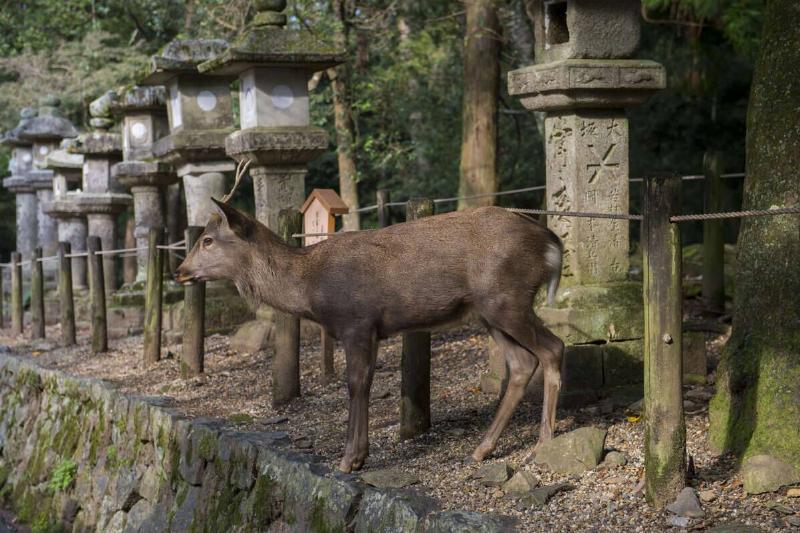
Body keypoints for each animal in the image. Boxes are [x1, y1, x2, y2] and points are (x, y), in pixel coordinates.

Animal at [175, 197, 565, 473]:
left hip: (506, 298)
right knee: (521, 362)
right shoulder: (372, 330)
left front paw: (350, 459)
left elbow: (356, 383)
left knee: (554, 348)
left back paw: (544, 441)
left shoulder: (356, 322)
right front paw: (358, 455)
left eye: (207, 240)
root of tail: (552, 244)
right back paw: (482, 448)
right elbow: (365, 382)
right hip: (488, 311)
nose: (180, 270)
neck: (308, 290)